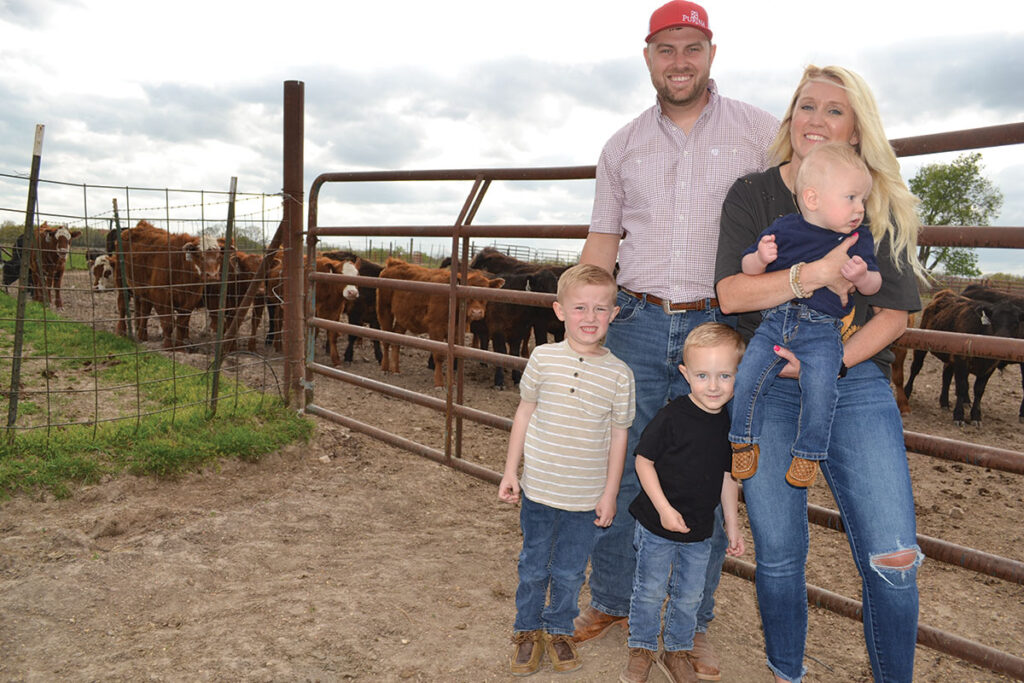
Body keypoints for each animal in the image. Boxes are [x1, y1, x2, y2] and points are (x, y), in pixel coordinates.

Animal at [114, 220, 230, 348]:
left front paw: (180, 345)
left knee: (144, 309)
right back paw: (121, 331)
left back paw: (142, 335)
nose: (212, 275)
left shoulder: (190, 300)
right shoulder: (161, 297)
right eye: (199, 255)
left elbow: (181, 324)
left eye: (219, 256)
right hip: (122, 282)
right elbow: (168, 323)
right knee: (122, 306)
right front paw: (168, 345)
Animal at [376, 255, 503, 387]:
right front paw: (439, 383)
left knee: (396, 338)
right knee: (385, 339)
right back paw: (385, 368)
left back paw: (395, 370)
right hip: (384, 310)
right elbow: (439, 355)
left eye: (487, 293)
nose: (477, 312)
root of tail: (394, 263)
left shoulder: (456, 332)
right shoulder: (436, 328)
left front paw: (452, 382)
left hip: (403, 317)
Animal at [905, 290, 1024, 428]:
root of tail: (944, 293)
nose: (1000, 341)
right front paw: (959, 415)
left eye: (1016, 323)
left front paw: (976, 416)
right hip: (921, 345)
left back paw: (944, 402)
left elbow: (979, 390)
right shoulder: (961, 362)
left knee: (946, 375)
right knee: (915, 368)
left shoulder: (990, 367)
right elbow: (962, 386)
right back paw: (906, 392)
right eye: (993, 321)